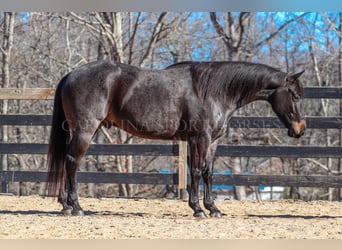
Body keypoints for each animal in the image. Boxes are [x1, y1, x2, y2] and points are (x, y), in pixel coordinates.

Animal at [45, 60, 304, 217]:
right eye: (295, 95)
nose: (300, 128)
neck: (214, 91)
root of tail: (71, 74)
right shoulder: (199, 139)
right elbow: (196, 171)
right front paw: (198, 209)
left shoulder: (213, 141)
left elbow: (209, 172)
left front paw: (213, 208)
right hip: (85, 131)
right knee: (72, 161)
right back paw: (76, 206)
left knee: (66, 161)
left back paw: (65, 205)